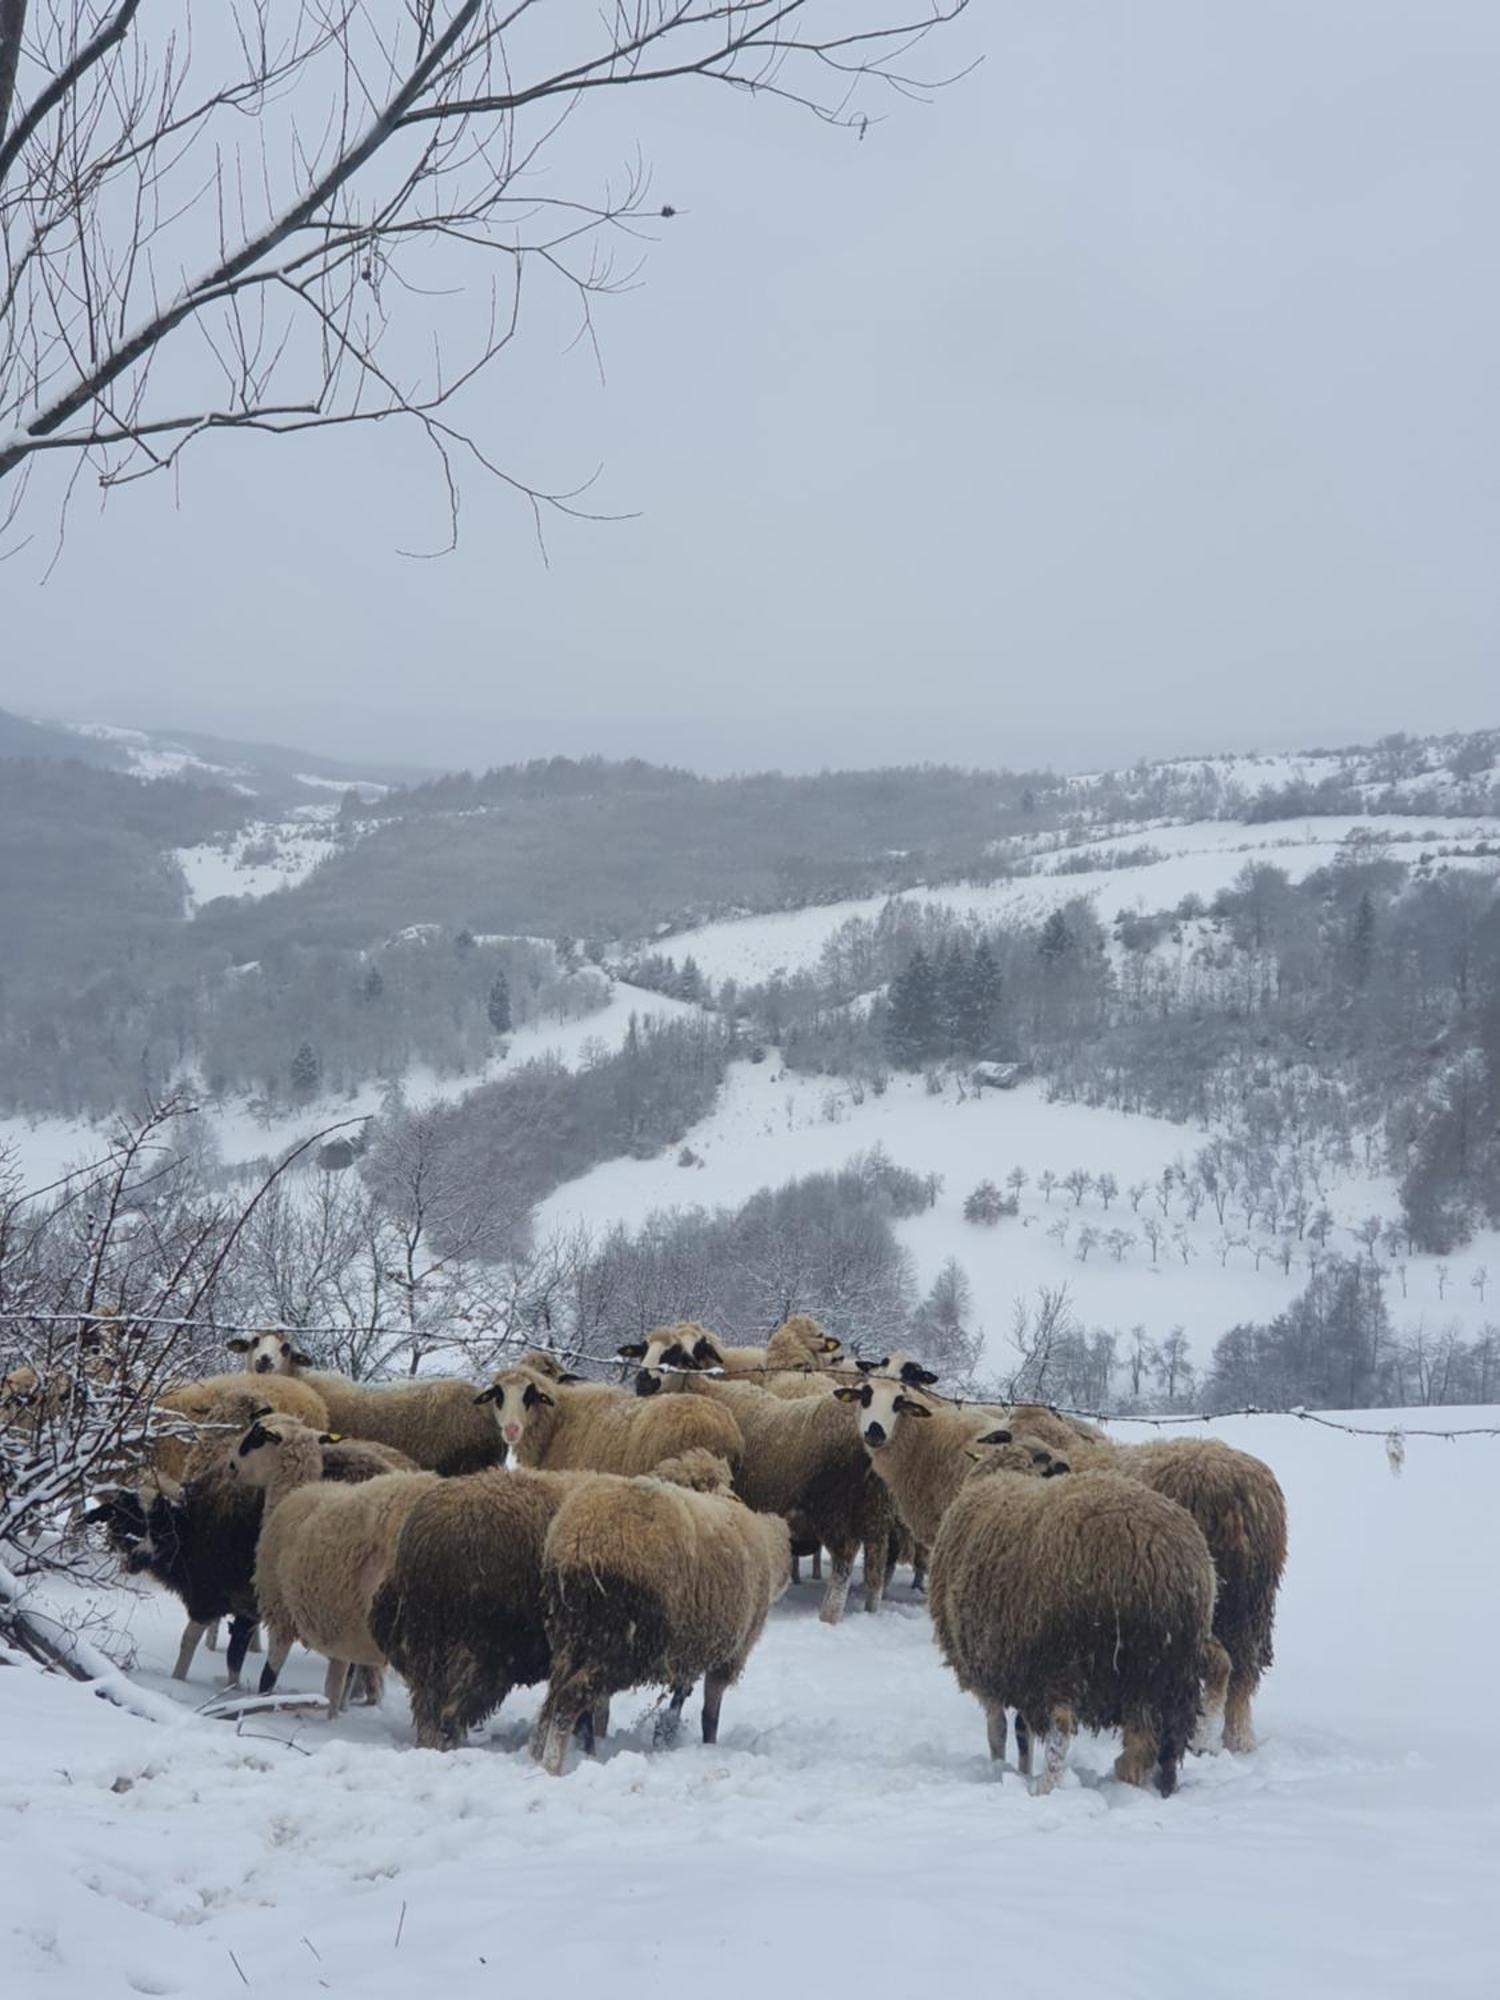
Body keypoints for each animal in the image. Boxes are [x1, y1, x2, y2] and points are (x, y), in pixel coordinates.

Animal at [229, 1408, 440, 1720]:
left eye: (255, 1436)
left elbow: (269, 1678)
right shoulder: (344, 1628)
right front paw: (333, 1718)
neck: (291, 1492)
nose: (231, 1465)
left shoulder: (281, 1612)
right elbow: (336, 1686)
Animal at [536, 1448, 792, 1776]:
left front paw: (664, 1735)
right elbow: (710, 1714)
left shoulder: (693, 1646)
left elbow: (680, 1697)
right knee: (572, 1697)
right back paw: (553, 1765)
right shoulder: (728, 1654)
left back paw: (571, 1753)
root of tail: (584, 1540)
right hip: (624, 1644)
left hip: (568, 1633)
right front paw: (707, 1748)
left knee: (561, 1696)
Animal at [628, 1328, 900, 1624]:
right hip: (876, 1508)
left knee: (844, 1562)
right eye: (643, 1350)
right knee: (877, 1562)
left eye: (676, 1354)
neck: (703, 1389)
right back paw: (871, 1610)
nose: (643, 1381)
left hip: (833, 1506)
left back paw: (828, 1616)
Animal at [928, 1456, 1224, 1800]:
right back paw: (1143, 1782)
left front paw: (1003, 1767)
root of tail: (1151, 1558)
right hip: (1165, 1670)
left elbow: (999, 1729)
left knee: (1061, 1734)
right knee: (1156, 1739)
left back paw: (1047, 1789)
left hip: (1067, 1658)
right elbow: (1019, 1730)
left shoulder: (991, 1667)